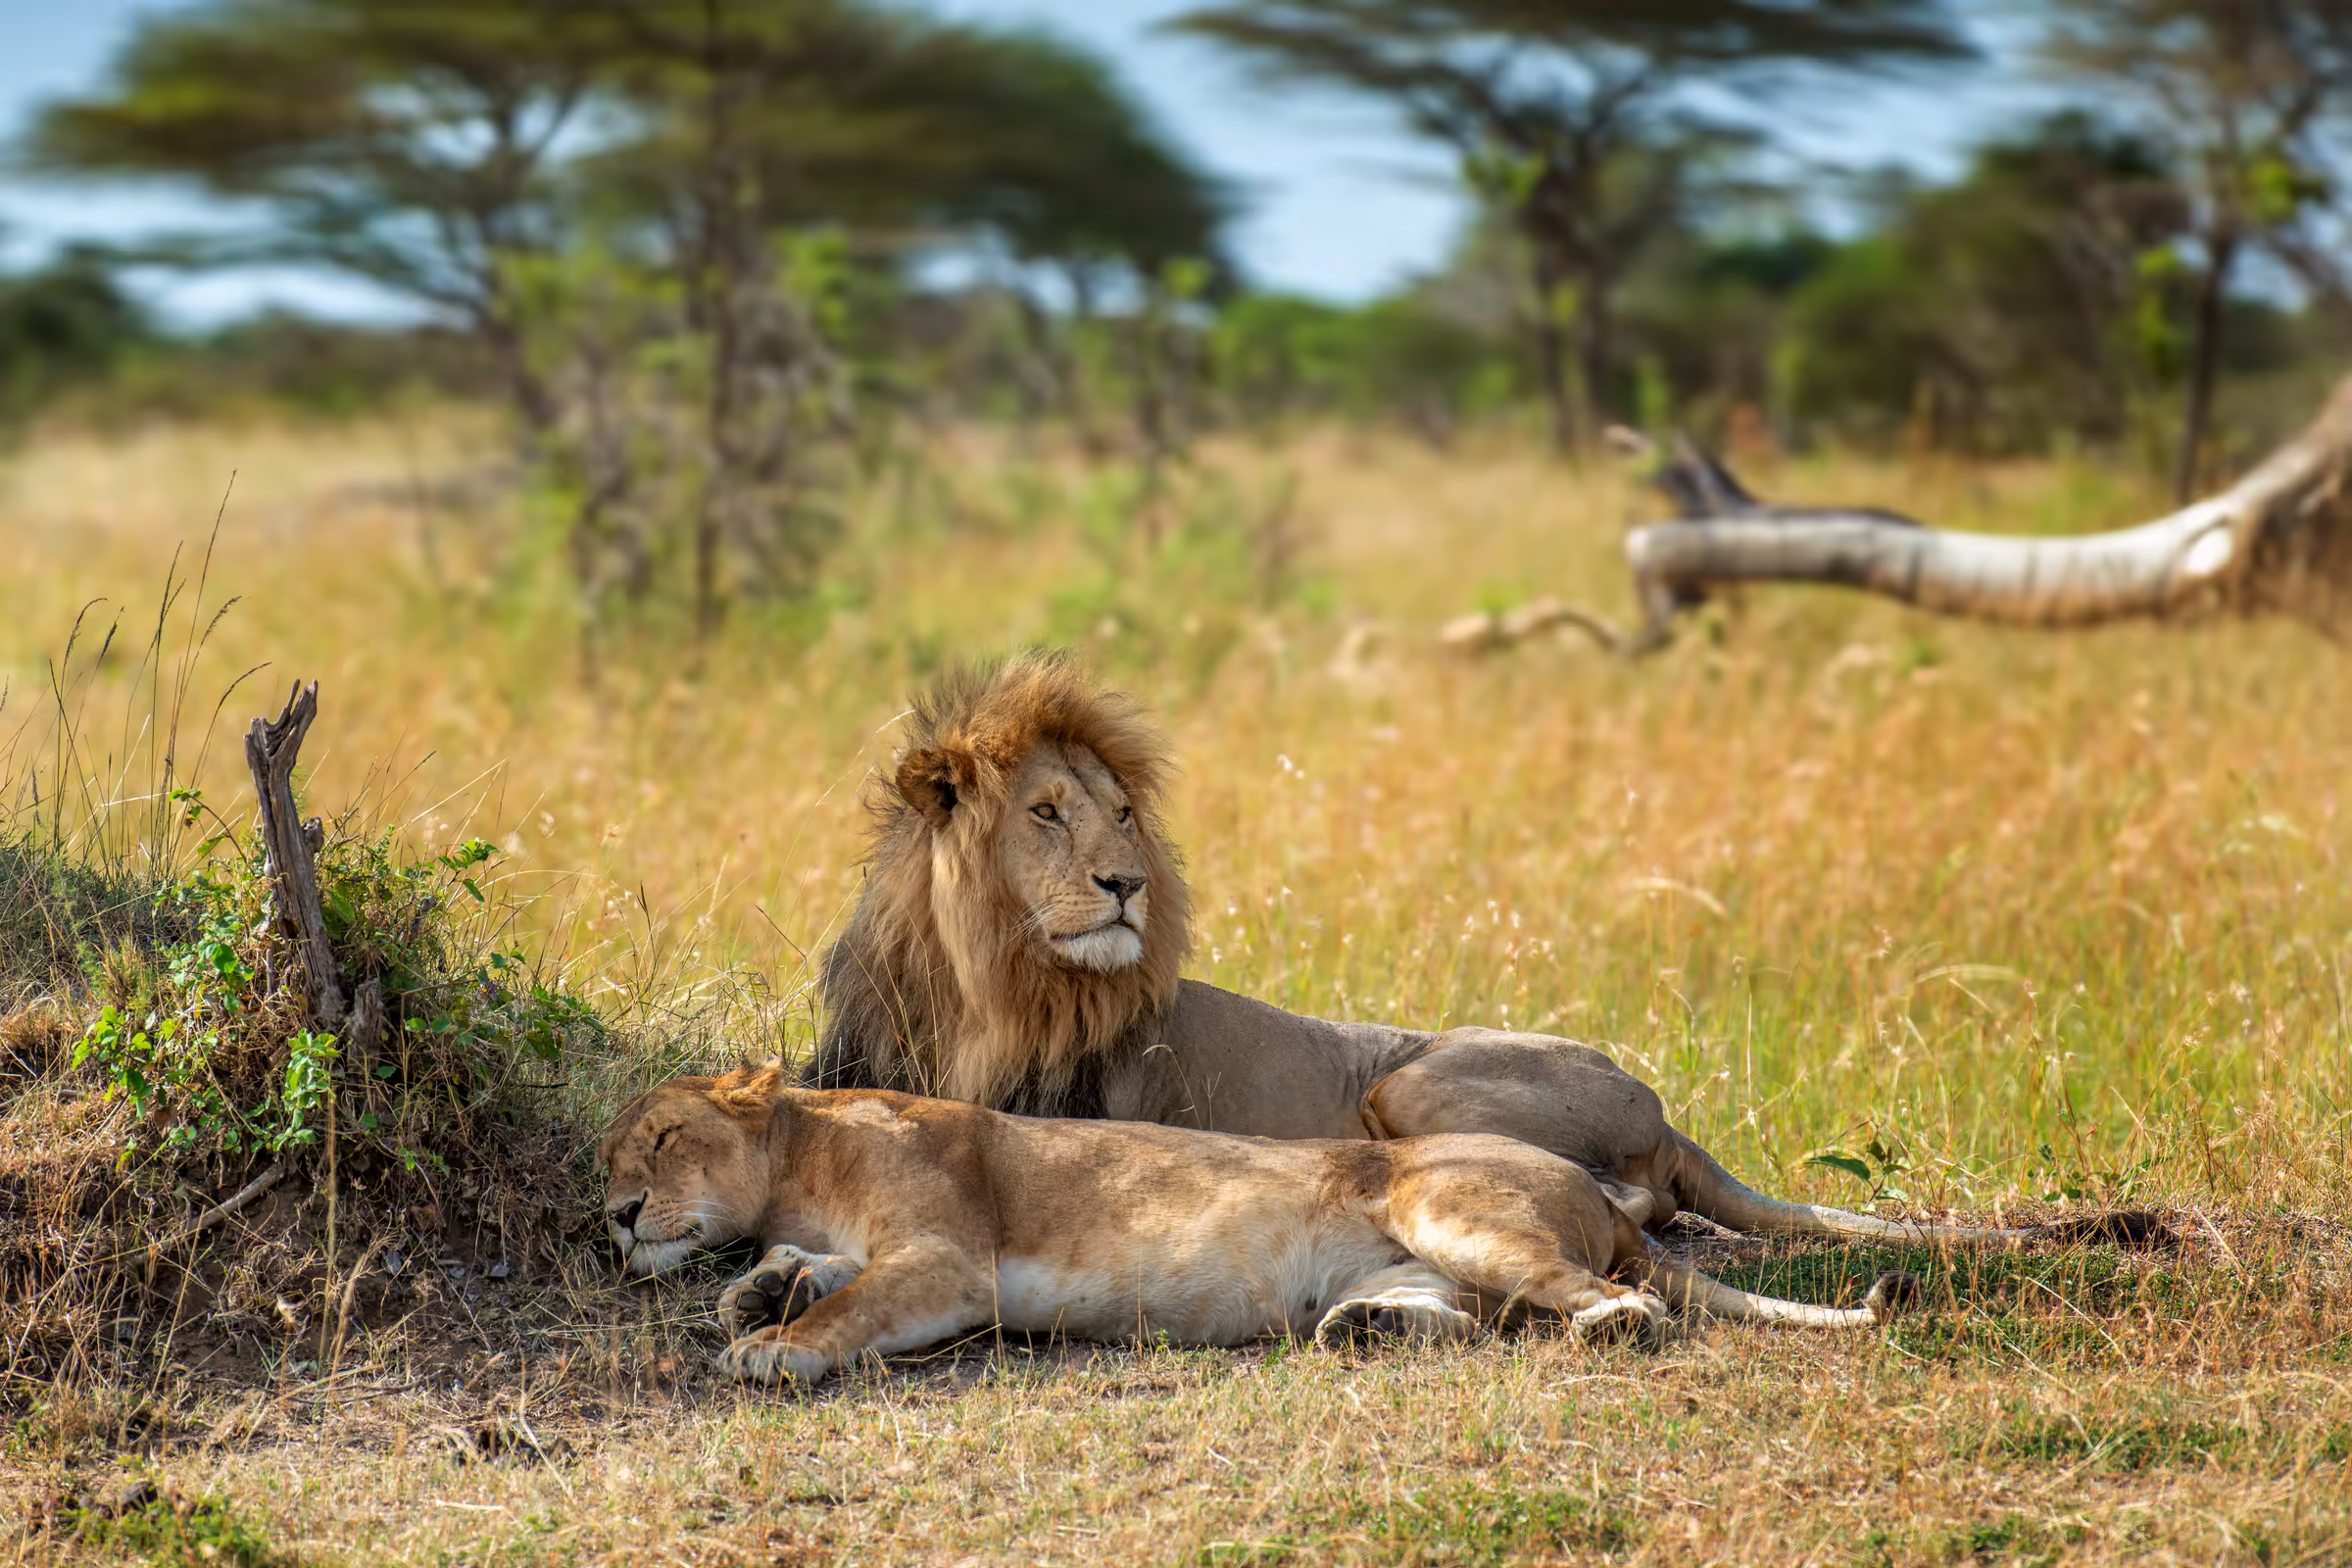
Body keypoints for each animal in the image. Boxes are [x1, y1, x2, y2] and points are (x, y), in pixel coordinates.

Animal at [805, 651, 2155, 1251]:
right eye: (1045, 813)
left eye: (1123, 813)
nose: (1125, 880)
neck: (983, 987)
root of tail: (1662, 1104)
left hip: (1415, 1079)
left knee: (1637, 1197)